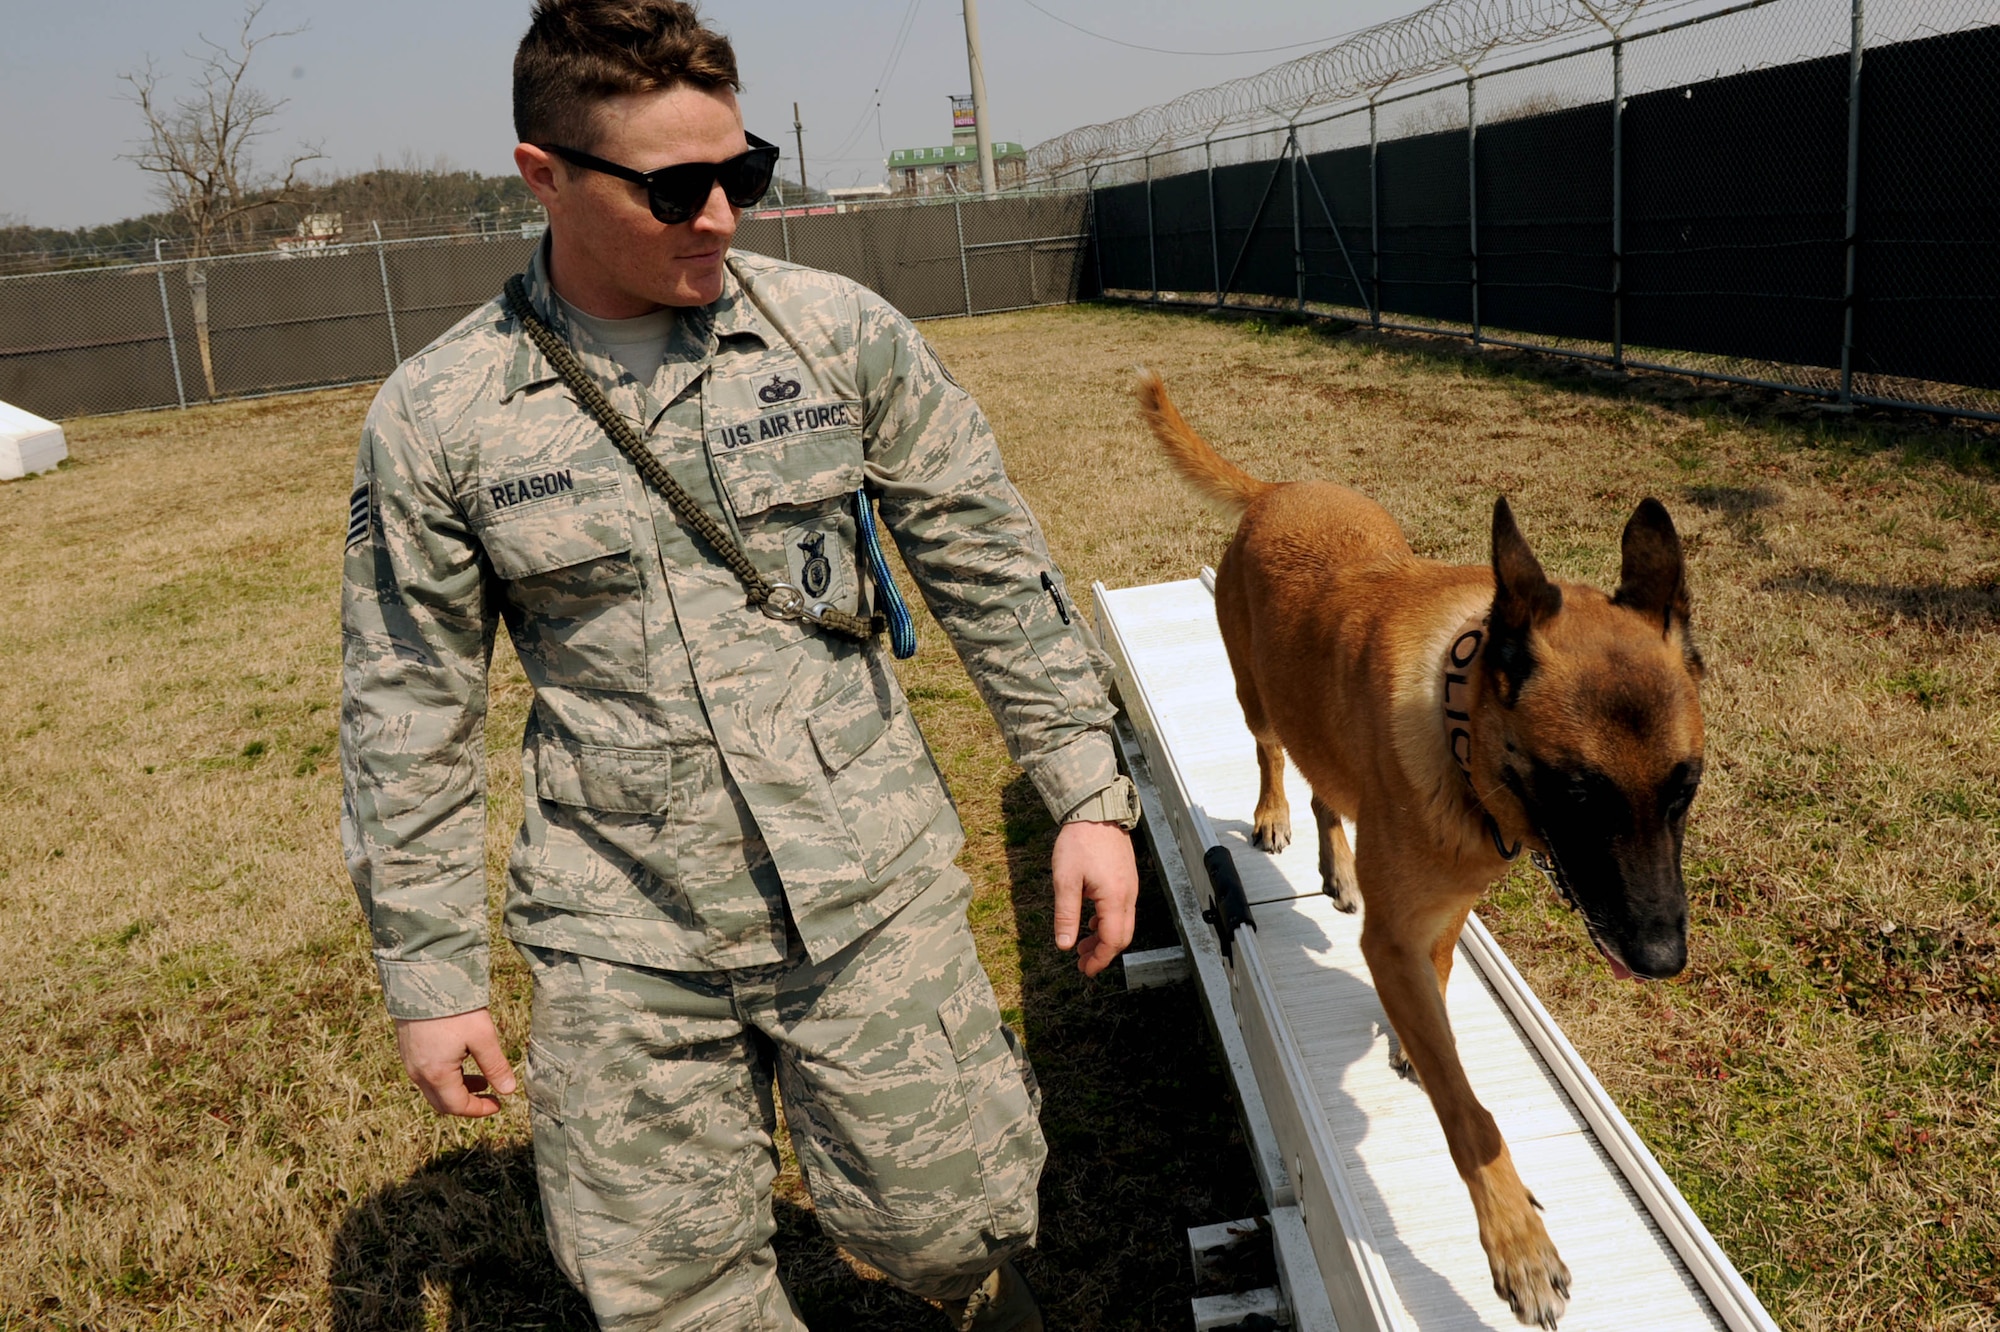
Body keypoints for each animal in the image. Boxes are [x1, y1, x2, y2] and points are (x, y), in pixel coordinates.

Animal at [1144, 368, 1704, 1320]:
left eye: (1686, 787)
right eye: (1579, 793)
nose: (1663, 960)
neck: (1459, 724)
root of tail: (1276, 490)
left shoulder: (1438, 916)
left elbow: (1437, 999)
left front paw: (1417, 1037)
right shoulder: (1398, 934)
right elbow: (1469, 1114)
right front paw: (1518, 1242)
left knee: (1329, 787)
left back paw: (1336, 861)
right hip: (1257, 696)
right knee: (1272, 753)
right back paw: (1273, 814)